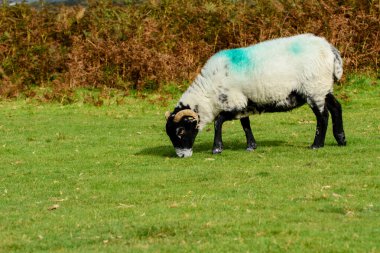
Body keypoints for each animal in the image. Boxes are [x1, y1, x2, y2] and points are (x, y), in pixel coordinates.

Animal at [165, 32, 346, 157]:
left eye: (181, 131)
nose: (182, 156)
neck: (208, 94)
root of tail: (330, 49)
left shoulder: (234, 102)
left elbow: (218, 121)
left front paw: (217, 148)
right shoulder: (244, 104)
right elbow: (245, 123)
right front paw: (251, 146)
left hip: (314, 89)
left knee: (323, 116)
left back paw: (317, 145)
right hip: (323, 87)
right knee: (336, 108)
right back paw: (341, 139)